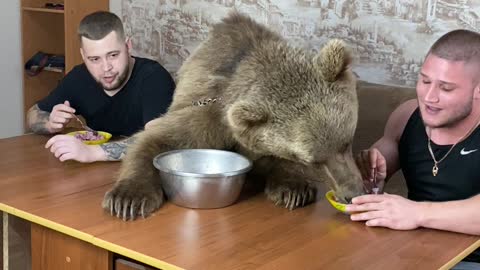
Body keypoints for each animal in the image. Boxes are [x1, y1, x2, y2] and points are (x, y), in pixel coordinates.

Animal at [102, 11, 364, 220]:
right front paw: (127, 199)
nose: (353, 194)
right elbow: (155, 138)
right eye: (313, 160)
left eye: (346, 142)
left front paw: (293, 190)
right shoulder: (212, 116)